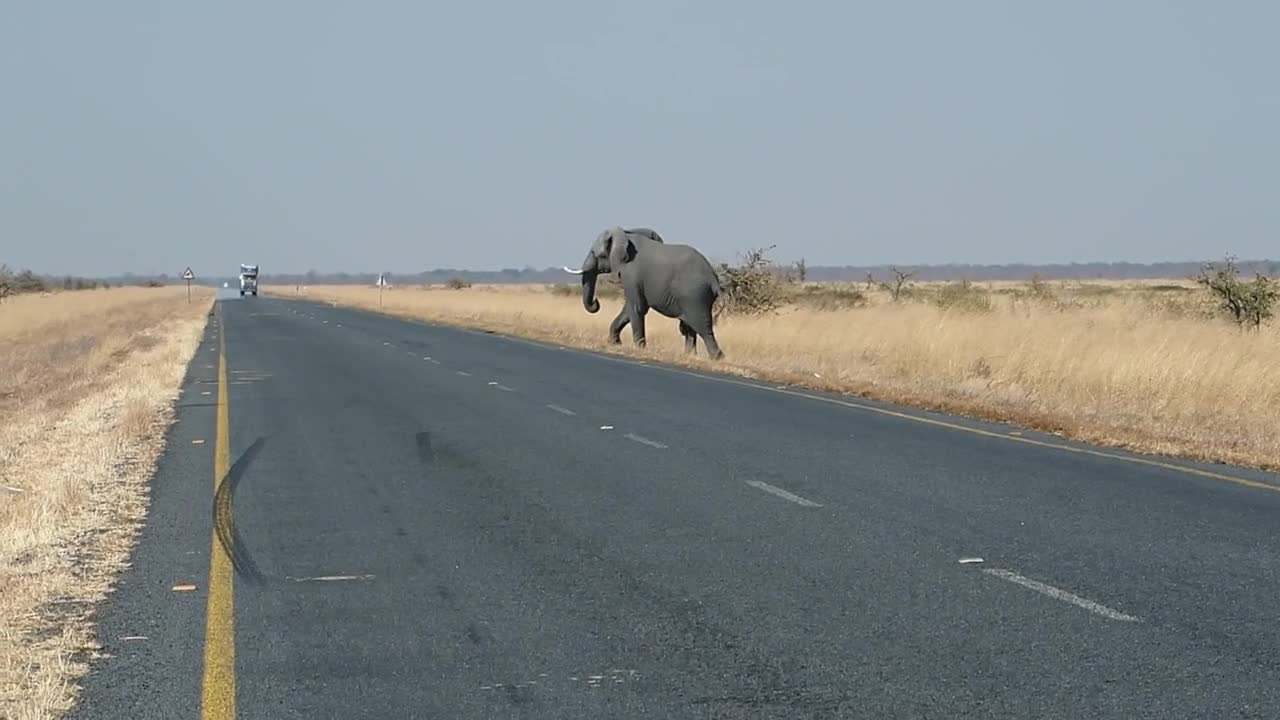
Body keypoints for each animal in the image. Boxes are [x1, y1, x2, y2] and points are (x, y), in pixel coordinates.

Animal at [565, 224, 727, 358]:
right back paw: (689, 355)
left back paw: (717, 357)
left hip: (694, 295)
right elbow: (629, 309)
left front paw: (639, 348)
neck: (626, 235)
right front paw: (615, 343)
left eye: (595, 253)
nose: (596, 302)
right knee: (689, 327)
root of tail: (713, 279)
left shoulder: (631, 274)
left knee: (703, 328)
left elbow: (637, 307)